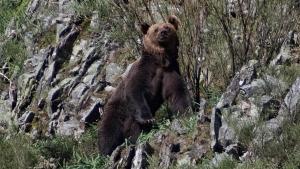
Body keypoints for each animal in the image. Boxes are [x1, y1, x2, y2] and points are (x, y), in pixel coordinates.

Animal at [99, 15, 192, 156]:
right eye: (155, 29)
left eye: (167, 27)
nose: (163, 33)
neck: (160, 60)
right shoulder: (143, 71)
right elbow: (134, 91)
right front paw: (148, 119)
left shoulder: (169, 71)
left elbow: (177, 90)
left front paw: (186, 111)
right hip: (116, 111)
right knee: (110, 131)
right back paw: (106, 151)